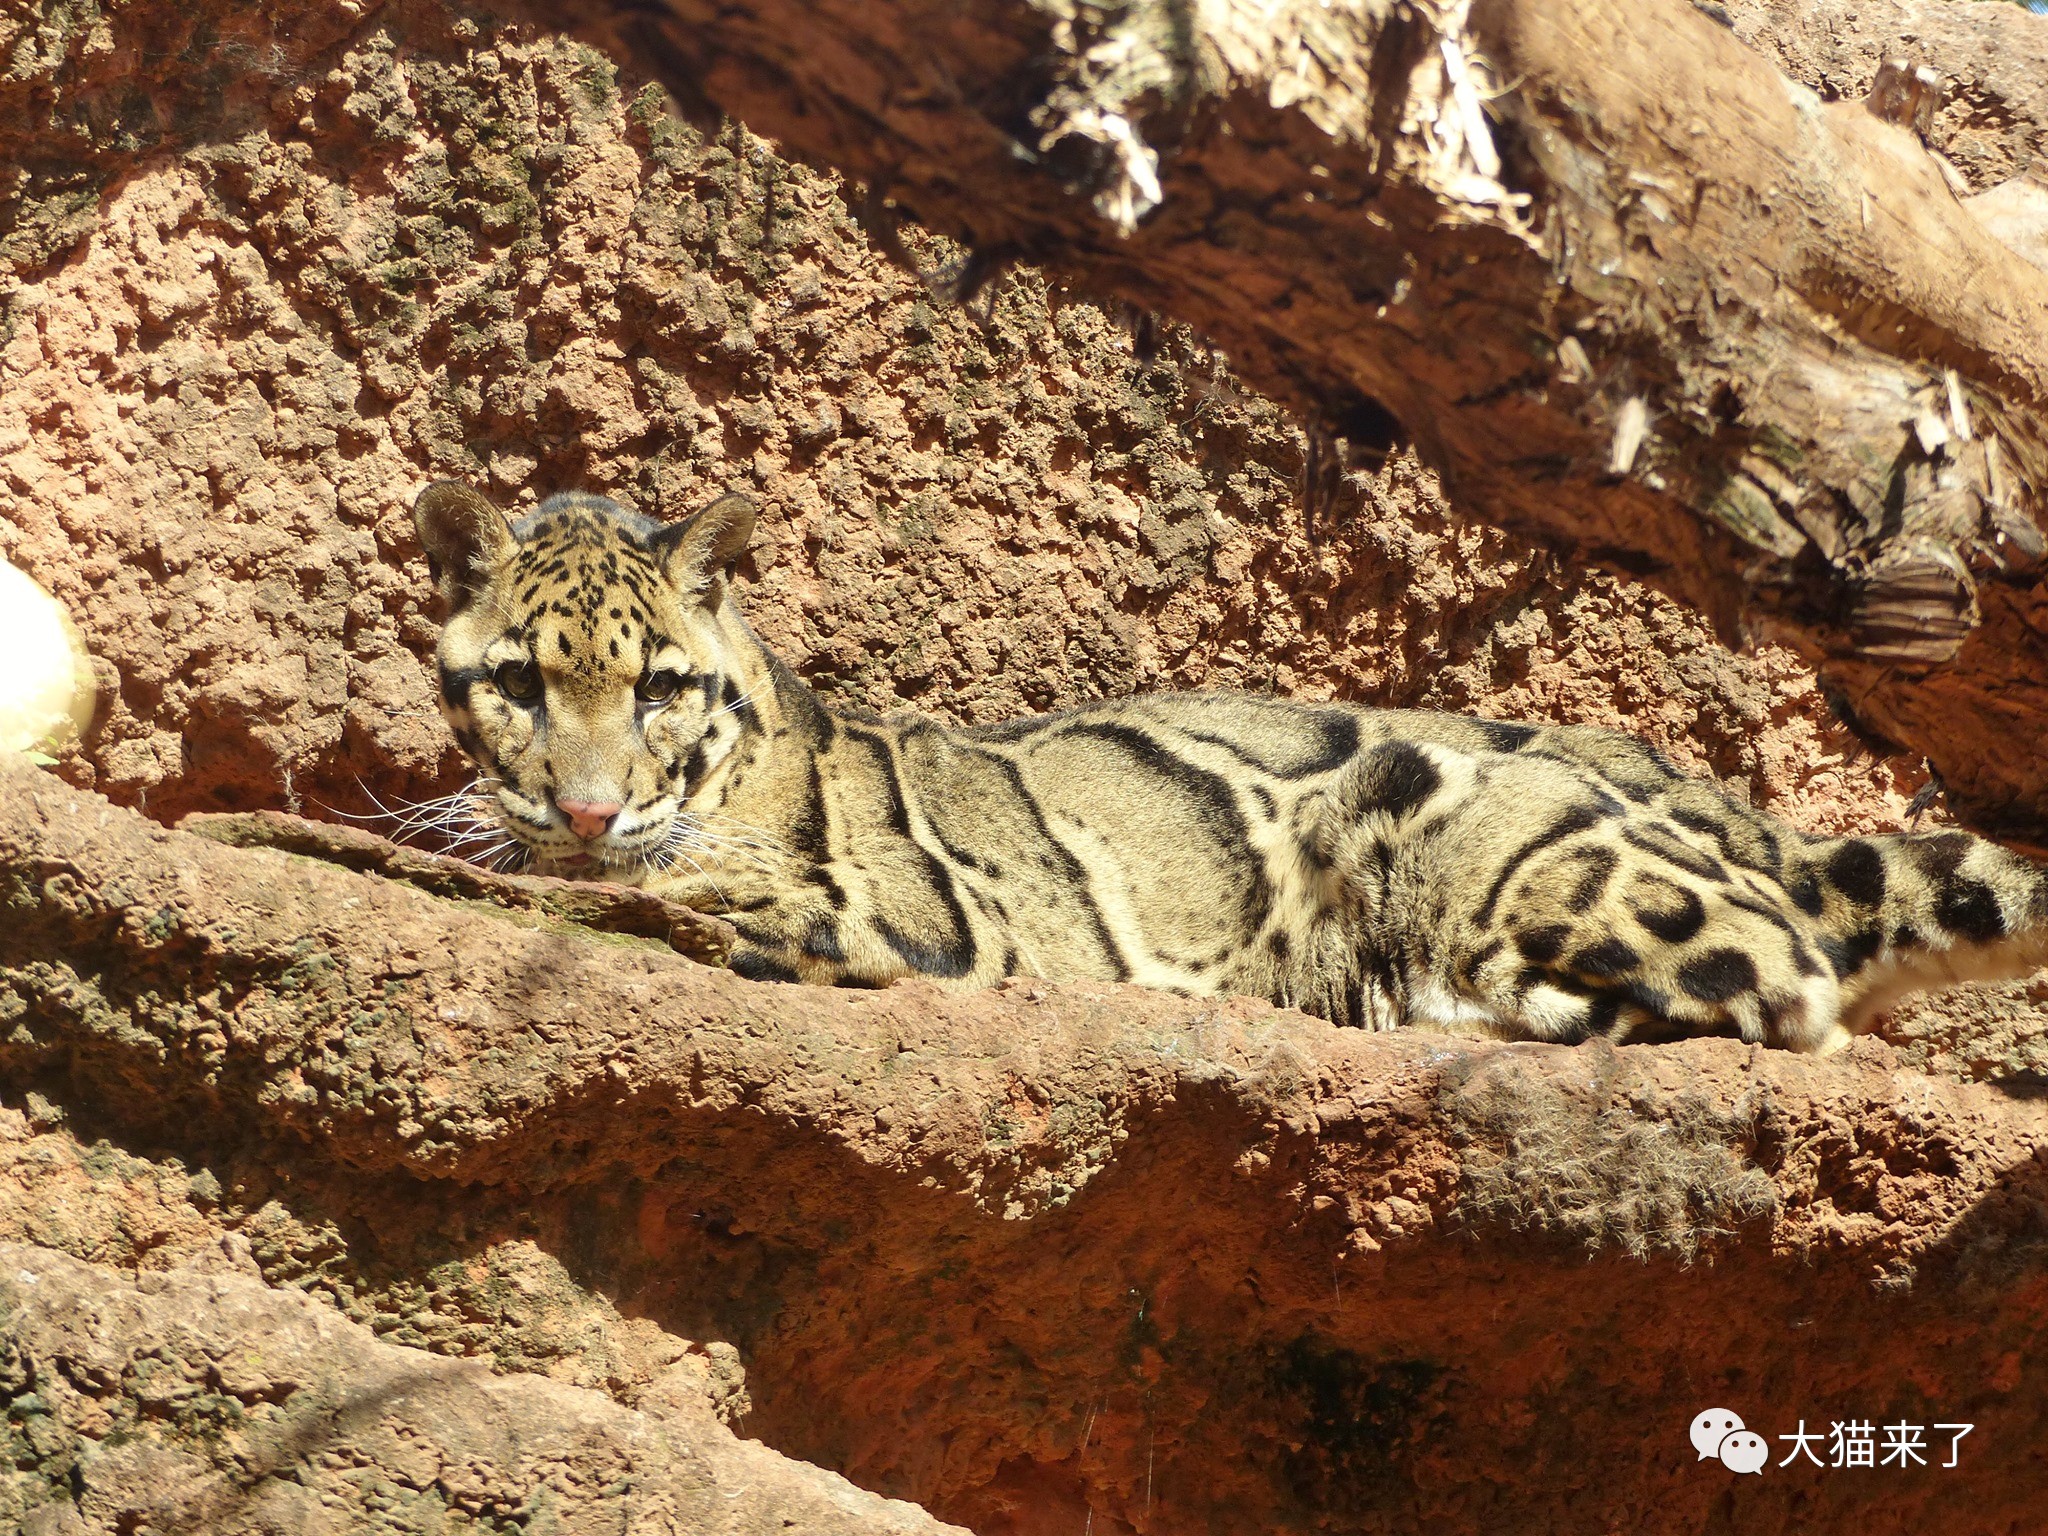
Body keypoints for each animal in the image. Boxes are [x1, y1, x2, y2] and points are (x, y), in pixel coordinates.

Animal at [415, 487, 2048, 1056]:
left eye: (657, 688)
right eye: (517, 683)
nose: (583, 804)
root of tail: (1761, 826)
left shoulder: (931, 917)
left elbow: (714, 879)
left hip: (1511, 848)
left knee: (1790, 998)